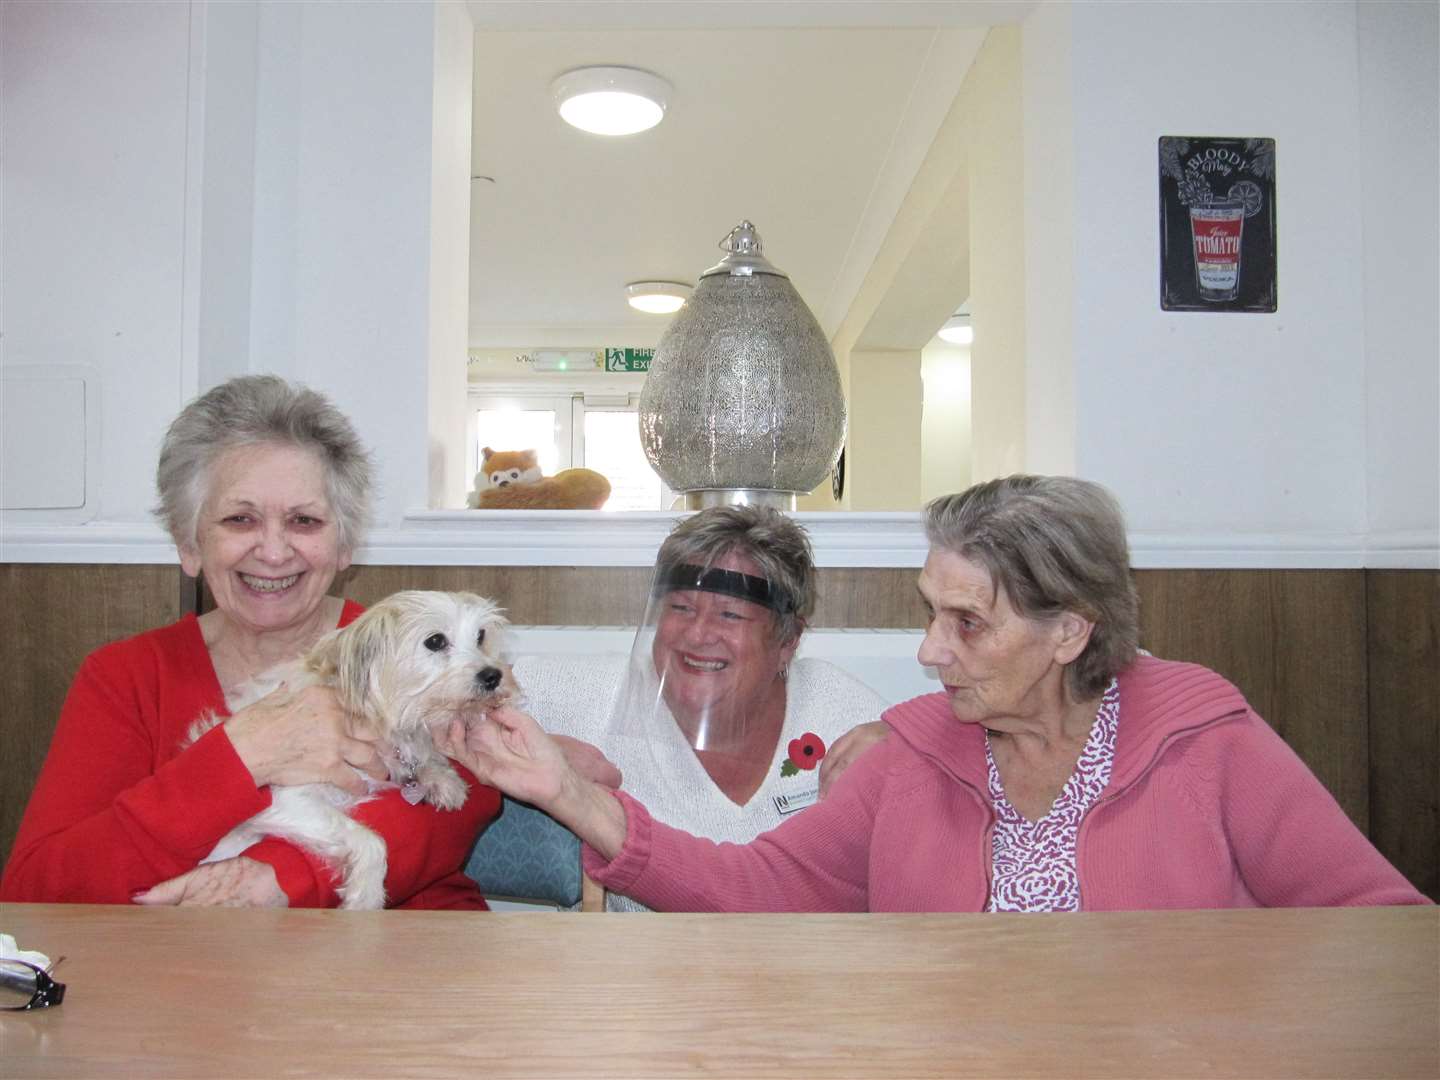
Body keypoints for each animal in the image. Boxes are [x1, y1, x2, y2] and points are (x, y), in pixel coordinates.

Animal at [184, 593, 512, 915]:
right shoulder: (283, 801)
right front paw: (366, 895)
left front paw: (442, 778)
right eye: (435, 641)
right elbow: (369, 840)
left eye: (480, 636)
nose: (493, 675)